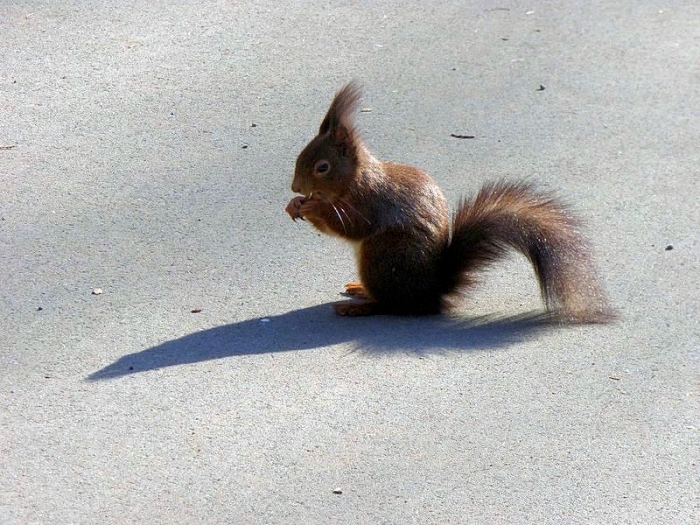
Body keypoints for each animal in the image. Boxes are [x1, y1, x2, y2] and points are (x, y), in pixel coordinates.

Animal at [285, 82, 612, 322]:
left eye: (323, 167)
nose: (295, 187)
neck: (355, 180)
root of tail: (429, 293)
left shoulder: (370, 202)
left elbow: (351, 227)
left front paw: (313, 207)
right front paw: (295, 204)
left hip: (383, 255)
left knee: (393, 305)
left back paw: (362, 305)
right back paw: (360, 291)